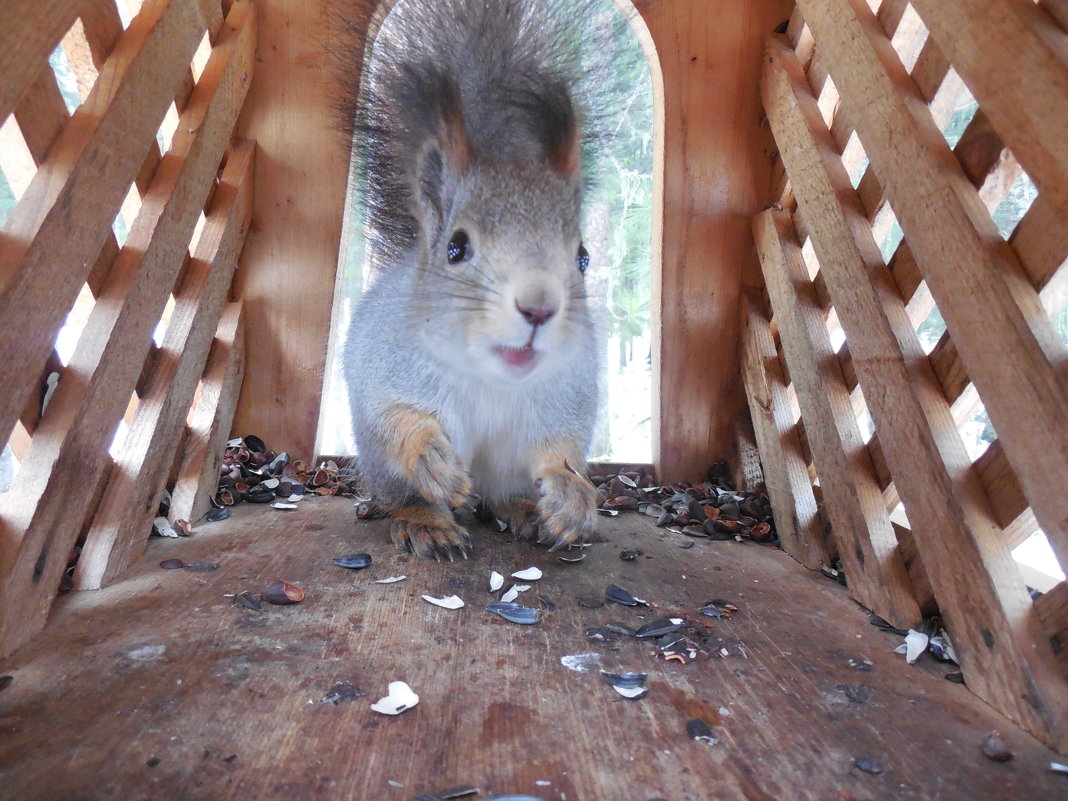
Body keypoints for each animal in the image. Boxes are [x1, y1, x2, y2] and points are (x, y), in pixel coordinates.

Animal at [333, 0, 606, 559]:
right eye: (456, 248)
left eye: (583, 256)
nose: (538, 308)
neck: (492, 374)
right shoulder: (387, 366)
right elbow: (397, 418)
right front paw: (430, 455)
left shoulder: (566, 395)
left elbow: (561, 447)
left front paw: (573, 494)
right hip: (382, 470)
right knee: (405, 494)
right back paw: (428, 522)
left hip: (506, 470)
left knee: (500, 494)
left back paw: (525, 508)